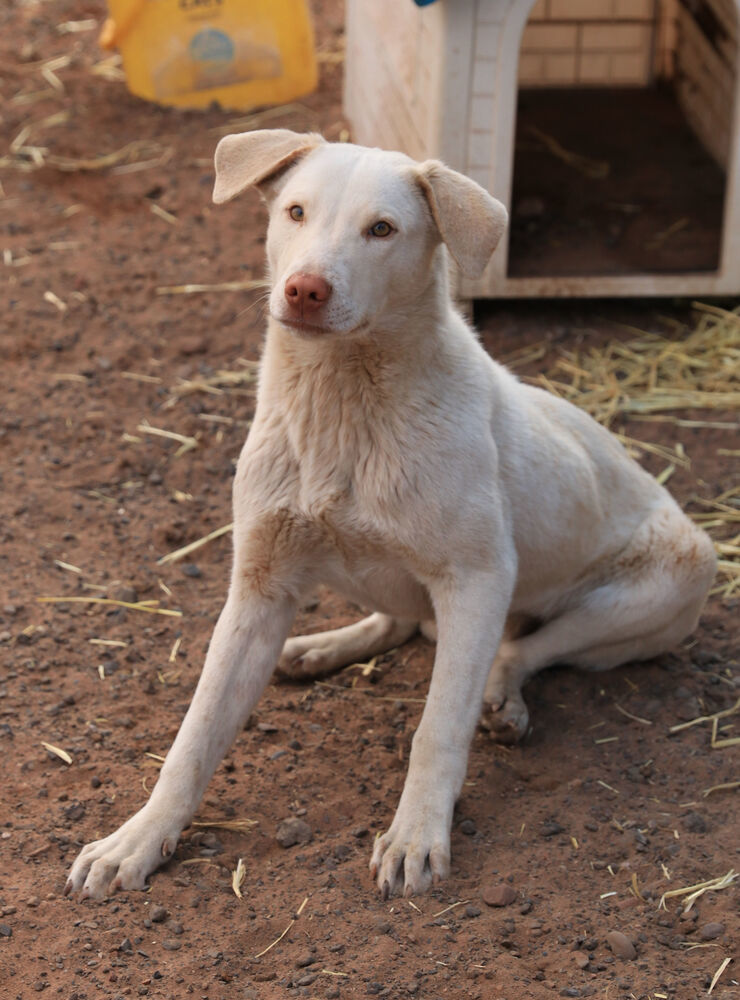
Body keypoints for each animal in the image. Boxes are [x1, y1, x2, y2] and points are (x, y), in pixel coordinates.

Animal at [65, 129, 716, 904]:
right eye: (295, 211)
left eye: (382, 230)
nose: (305, 289)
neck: (344, 399)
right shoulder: (258, 586)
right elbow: (193, 737)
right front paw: (137, 840)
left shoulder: (477, 578)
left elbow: (437, 728)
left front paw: (415, 839)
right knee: (403, 618)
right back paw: (318, 648)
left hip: (670, 580)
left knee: (518, 650)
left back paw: (501, 698)